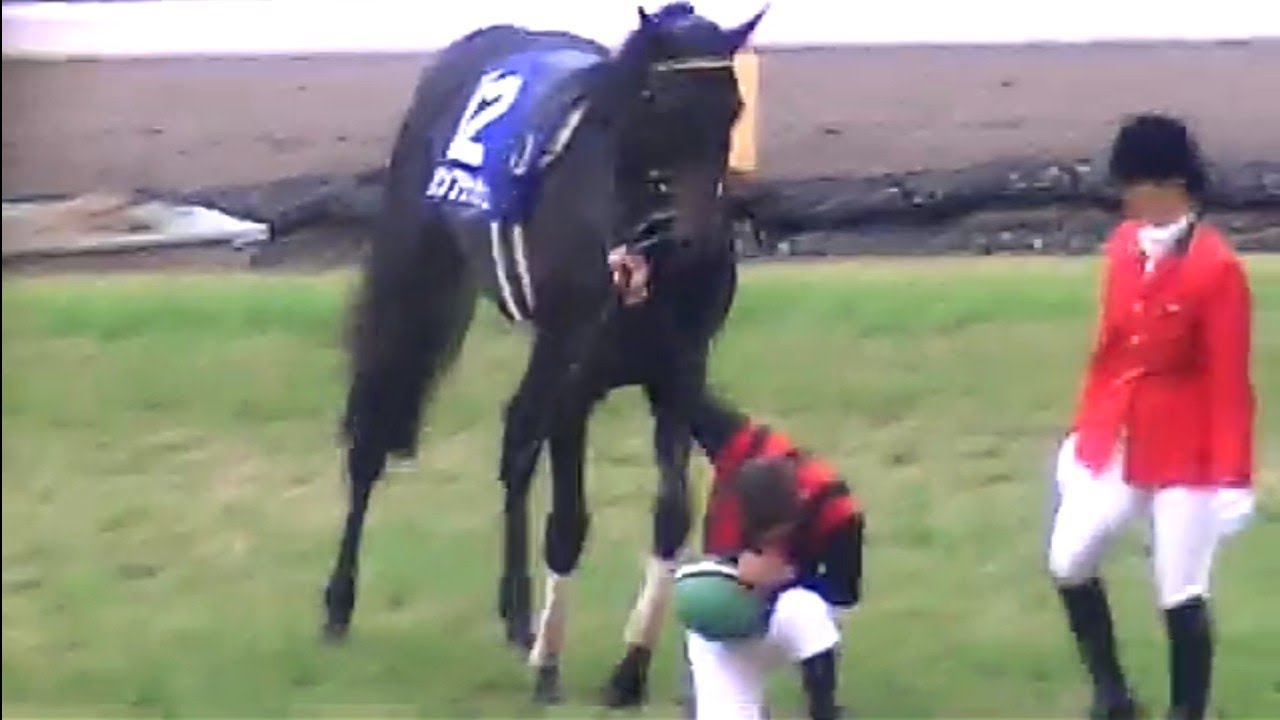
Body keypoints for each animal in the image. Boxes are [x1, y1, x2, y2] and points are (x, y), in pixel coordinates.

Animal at [320, 2, 766, 706]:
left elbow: (671, 514)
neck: (636, 253)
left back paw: (517, 613)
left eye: (733, 104)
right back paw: (340, 605)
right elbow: (569, 521)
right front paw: (549, 671)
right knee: (373, 430)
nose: (695, 237)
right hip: (415, 280)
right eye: (655, 99)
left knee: (515, 438)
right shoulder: (575, 375)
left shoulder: (676, 374)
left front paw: (628, 670)